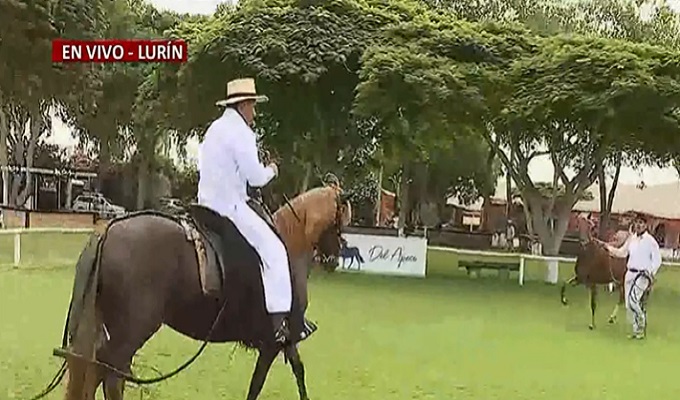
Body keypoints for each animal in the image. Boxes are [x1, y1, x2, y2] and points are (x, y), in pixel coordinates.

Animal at [56, 185, 352, 400]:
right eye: (341, 221)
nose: (334, 257)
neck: (288, 246)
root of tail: (108, 230)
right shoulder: (275, 341)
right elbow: (262, 383)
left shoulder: (283, 341)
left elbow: (294, 372)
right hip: (131, 332)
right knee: (110, 375)